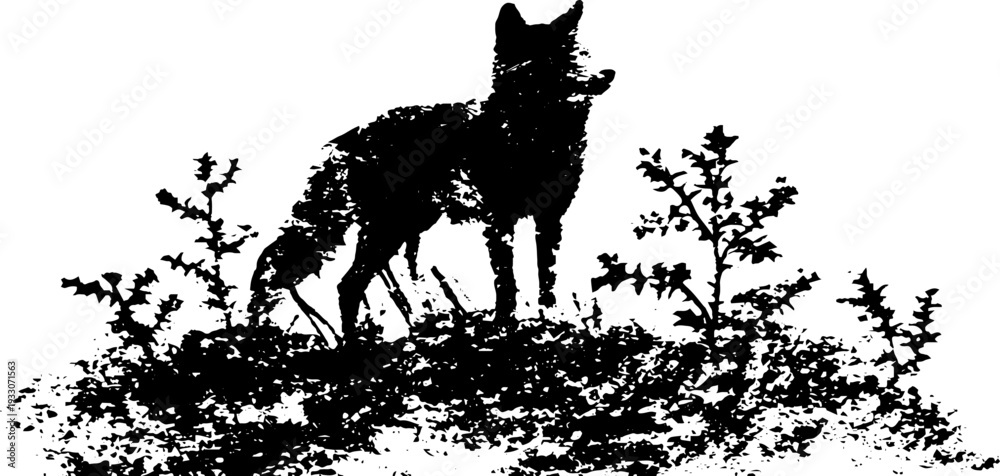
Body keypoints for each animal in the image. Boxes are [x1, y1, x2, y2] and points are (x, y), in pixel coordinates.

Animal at [248, 1, 614, 337]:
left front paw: (550, 322)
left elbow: (546, 278)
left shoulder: (549, 219)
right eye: (558, 60)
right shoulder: (500, 222)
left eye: (581, 54)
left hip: (407, 225)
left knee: (350, 285)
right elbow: (506, 283)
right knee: (345, 285)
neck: (531, 134)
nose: (608, 75)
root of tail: (347, 140)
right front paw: (505, 329)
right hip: (389, 229)